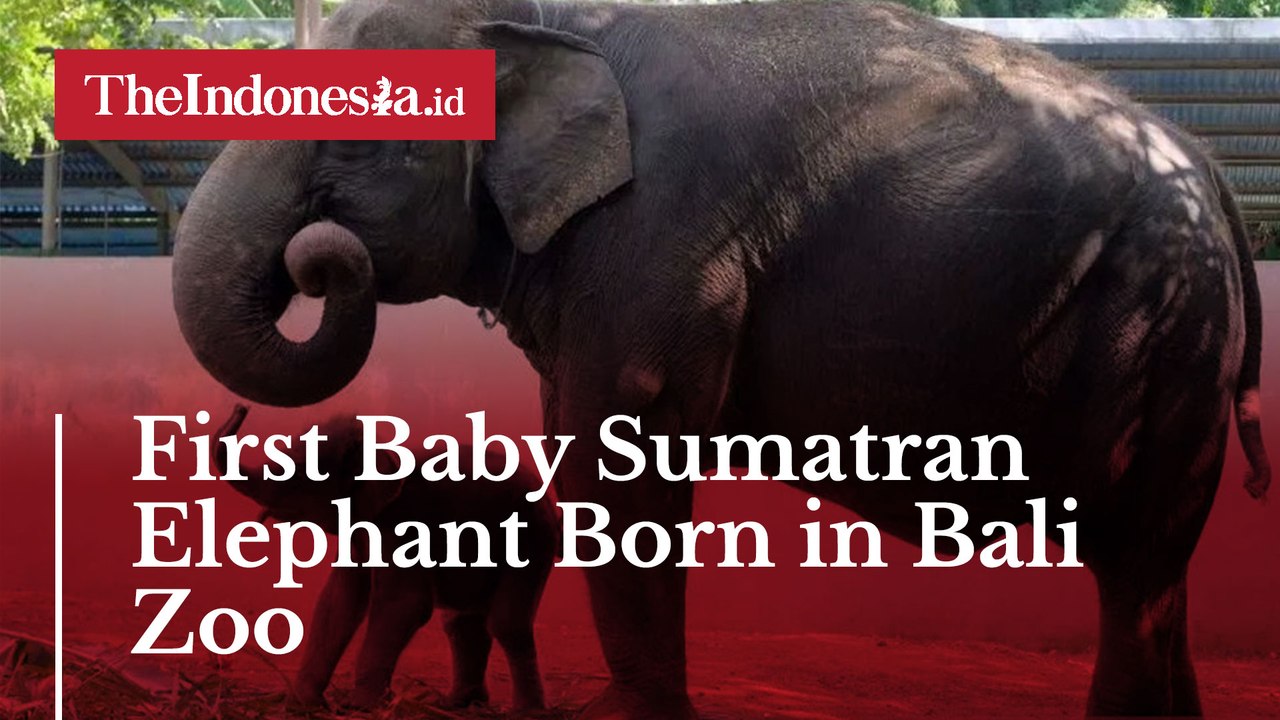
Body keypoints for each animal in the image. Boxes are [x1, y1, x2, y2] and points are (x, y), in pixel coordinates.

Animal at [212, 404, 556, 712]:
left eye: (302, 475)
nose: (242, 407)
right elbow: (338, 602)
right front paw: (302, 706)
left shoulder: (405, 520)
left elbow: (403, 603)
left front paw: (361, 706)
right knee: (461, 621)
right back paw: (457, 704)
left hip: (533, 538)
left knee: (506, 623)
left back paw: (525, 711)